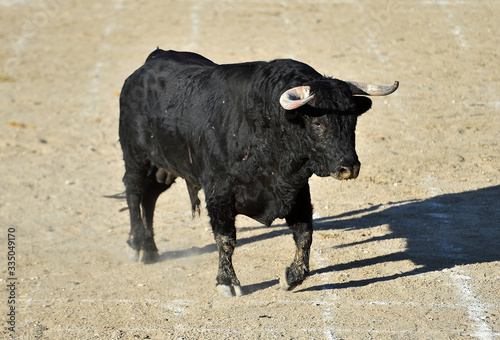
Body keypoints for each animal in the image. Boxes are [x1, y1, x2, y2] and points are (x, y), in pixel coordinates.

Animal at [118, 49, 398, 296]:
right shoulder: (219, 193)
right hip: (136, 158)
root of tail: (147, 64)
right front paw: (227, 282)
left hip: (162, 169)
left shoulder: (296, 191)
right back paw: (136, 245)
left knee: (149, 198)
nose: (349, 167)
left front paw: (290, 278)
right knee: (133, 193)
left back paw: (150, 249)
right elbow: (226, 239)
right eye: (318, 122)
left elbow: (304, 234)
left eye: (353, 121)